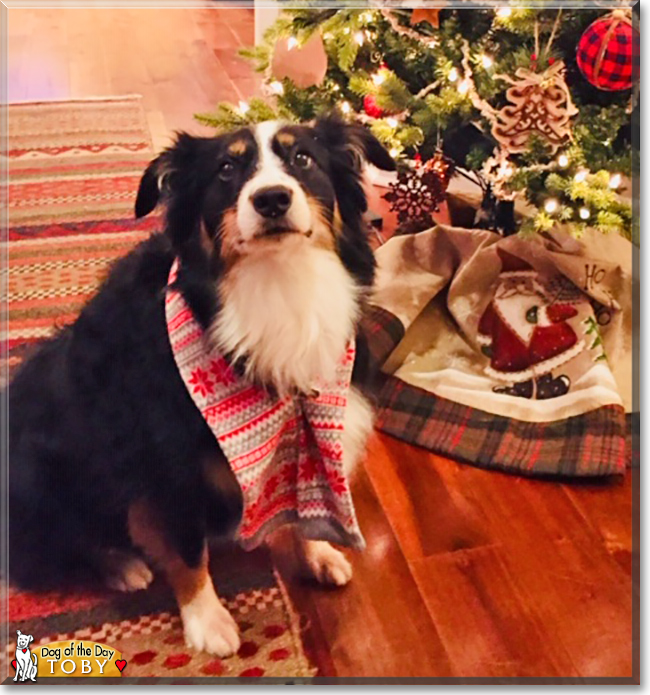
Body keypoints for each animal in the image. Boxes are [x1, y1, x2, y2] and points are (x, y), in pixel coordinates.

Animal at [7, 115, 394, 656]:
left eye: (303, 159)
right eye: (227, 169)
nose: (272, 199)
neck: (278, 284)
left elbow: (301, 502)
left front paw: (317, 552)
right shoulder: (168, 464)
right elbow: (189, 550)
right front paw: (206, 620)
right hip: (47, 466)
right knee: (59, 542)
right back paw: (123, 565)